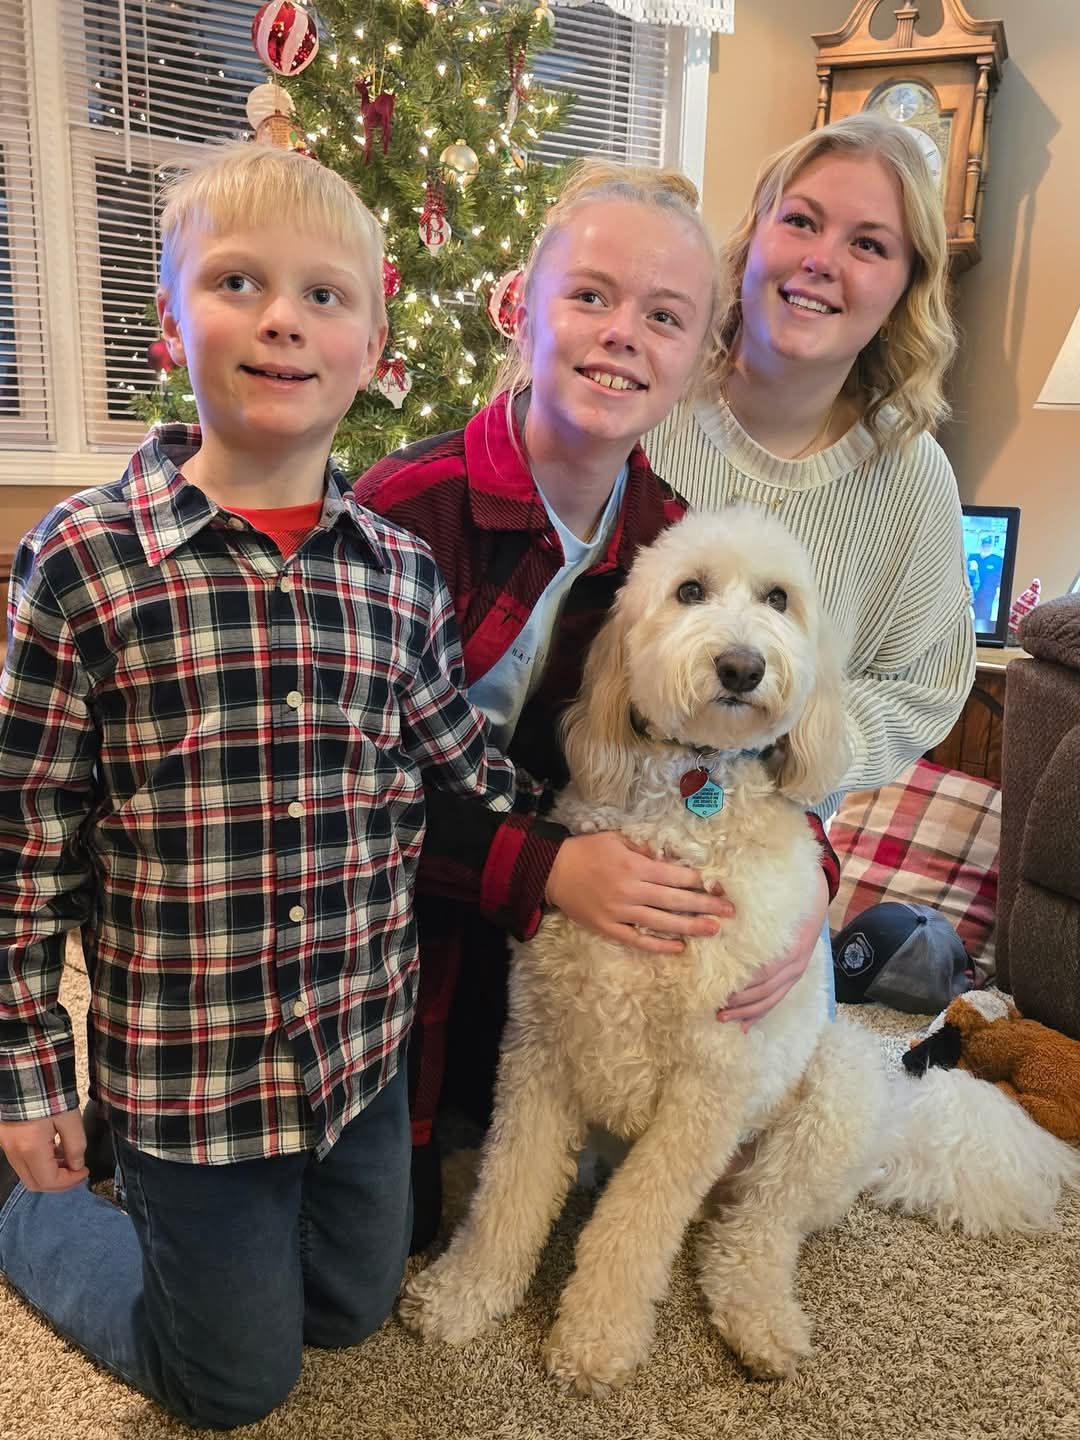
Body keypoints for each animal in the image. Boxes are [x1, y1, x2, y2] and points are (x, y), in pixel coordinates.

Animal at [400, 507, 1080, 1396]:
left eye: (778, 598)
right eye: (689, 591)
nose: (741, 665)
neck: (690, 796)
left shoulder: (709, 1087)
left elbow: (633, 1227)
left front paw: (595, 1337)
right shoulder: (541, 1054)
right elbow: (506, 1194)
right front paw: (467, 1294)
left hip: (827, 1096)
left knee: (753, 1234)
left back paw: (760, 1324)